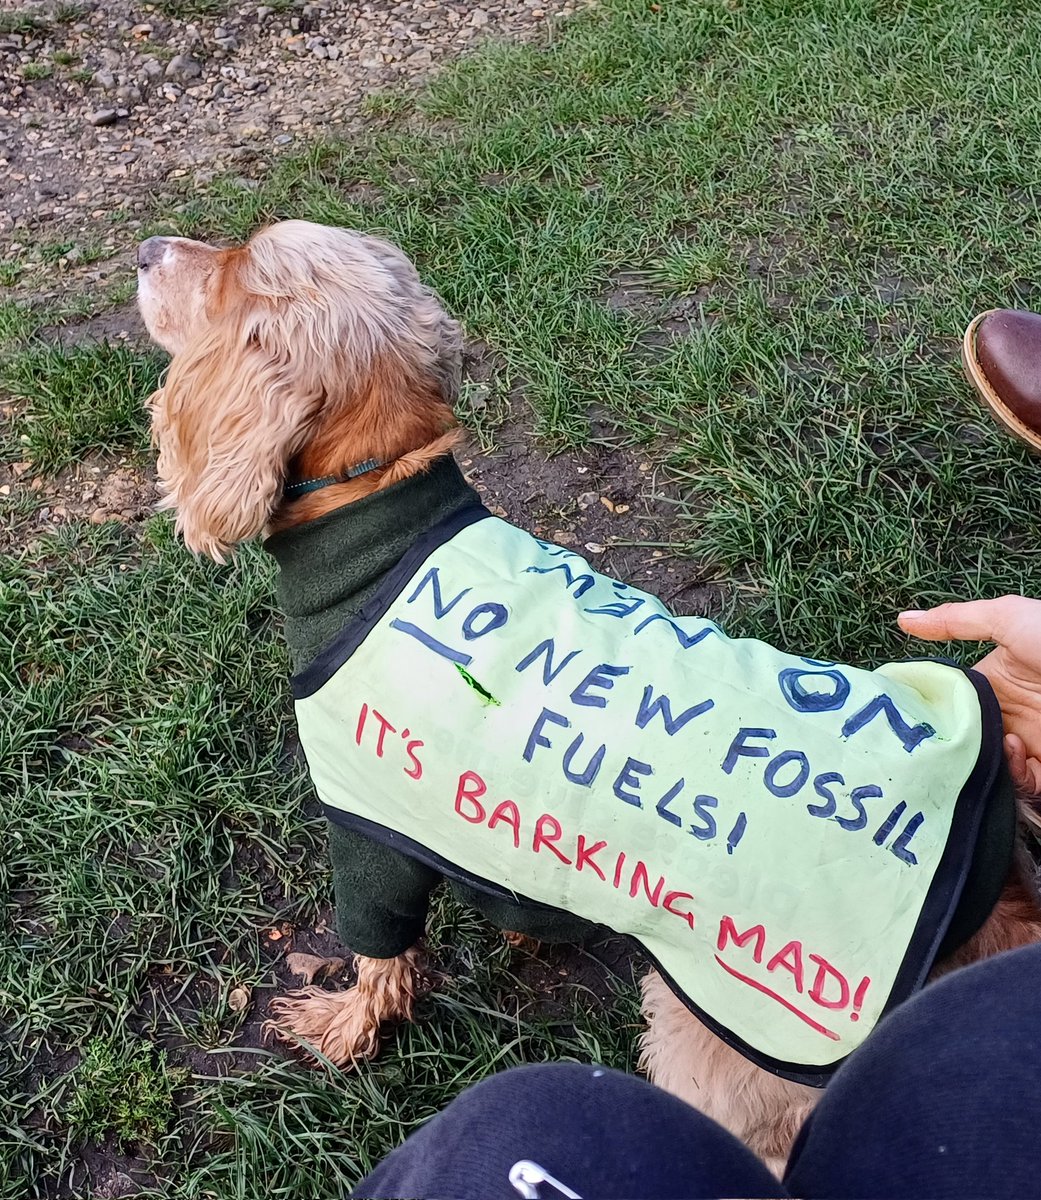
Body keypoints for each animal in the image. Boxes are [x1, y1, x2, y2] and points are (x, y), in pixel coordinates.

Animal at [134, 220, 1041, 1166]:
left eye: (234, 269)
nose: (149, 248)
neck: (377, 515)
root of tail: (995, 884)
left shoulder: (365, 821)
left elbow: (379, 948)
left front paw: (345, 1027)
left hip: (726, 1035)